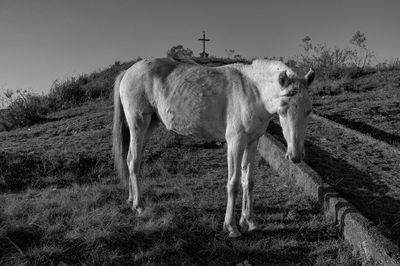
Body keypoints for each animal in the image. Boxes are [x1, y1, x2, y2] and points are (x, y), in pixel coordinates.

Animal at [112, 57, 316, 237]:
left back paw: (131, 200)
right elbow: (233, 183)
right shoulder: (235, 142)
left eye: (308, 110)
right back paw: (139, 206)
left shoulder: (252, 142)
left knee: (132, 160)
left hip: (149, 126)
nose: (295, 156)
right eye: (283, 110)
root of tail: (127, 72)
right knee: (133, 162)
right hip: (138, 125)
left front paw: (249, 222)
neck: (252, 91)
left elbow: (248, 181)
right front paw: (231, 227)